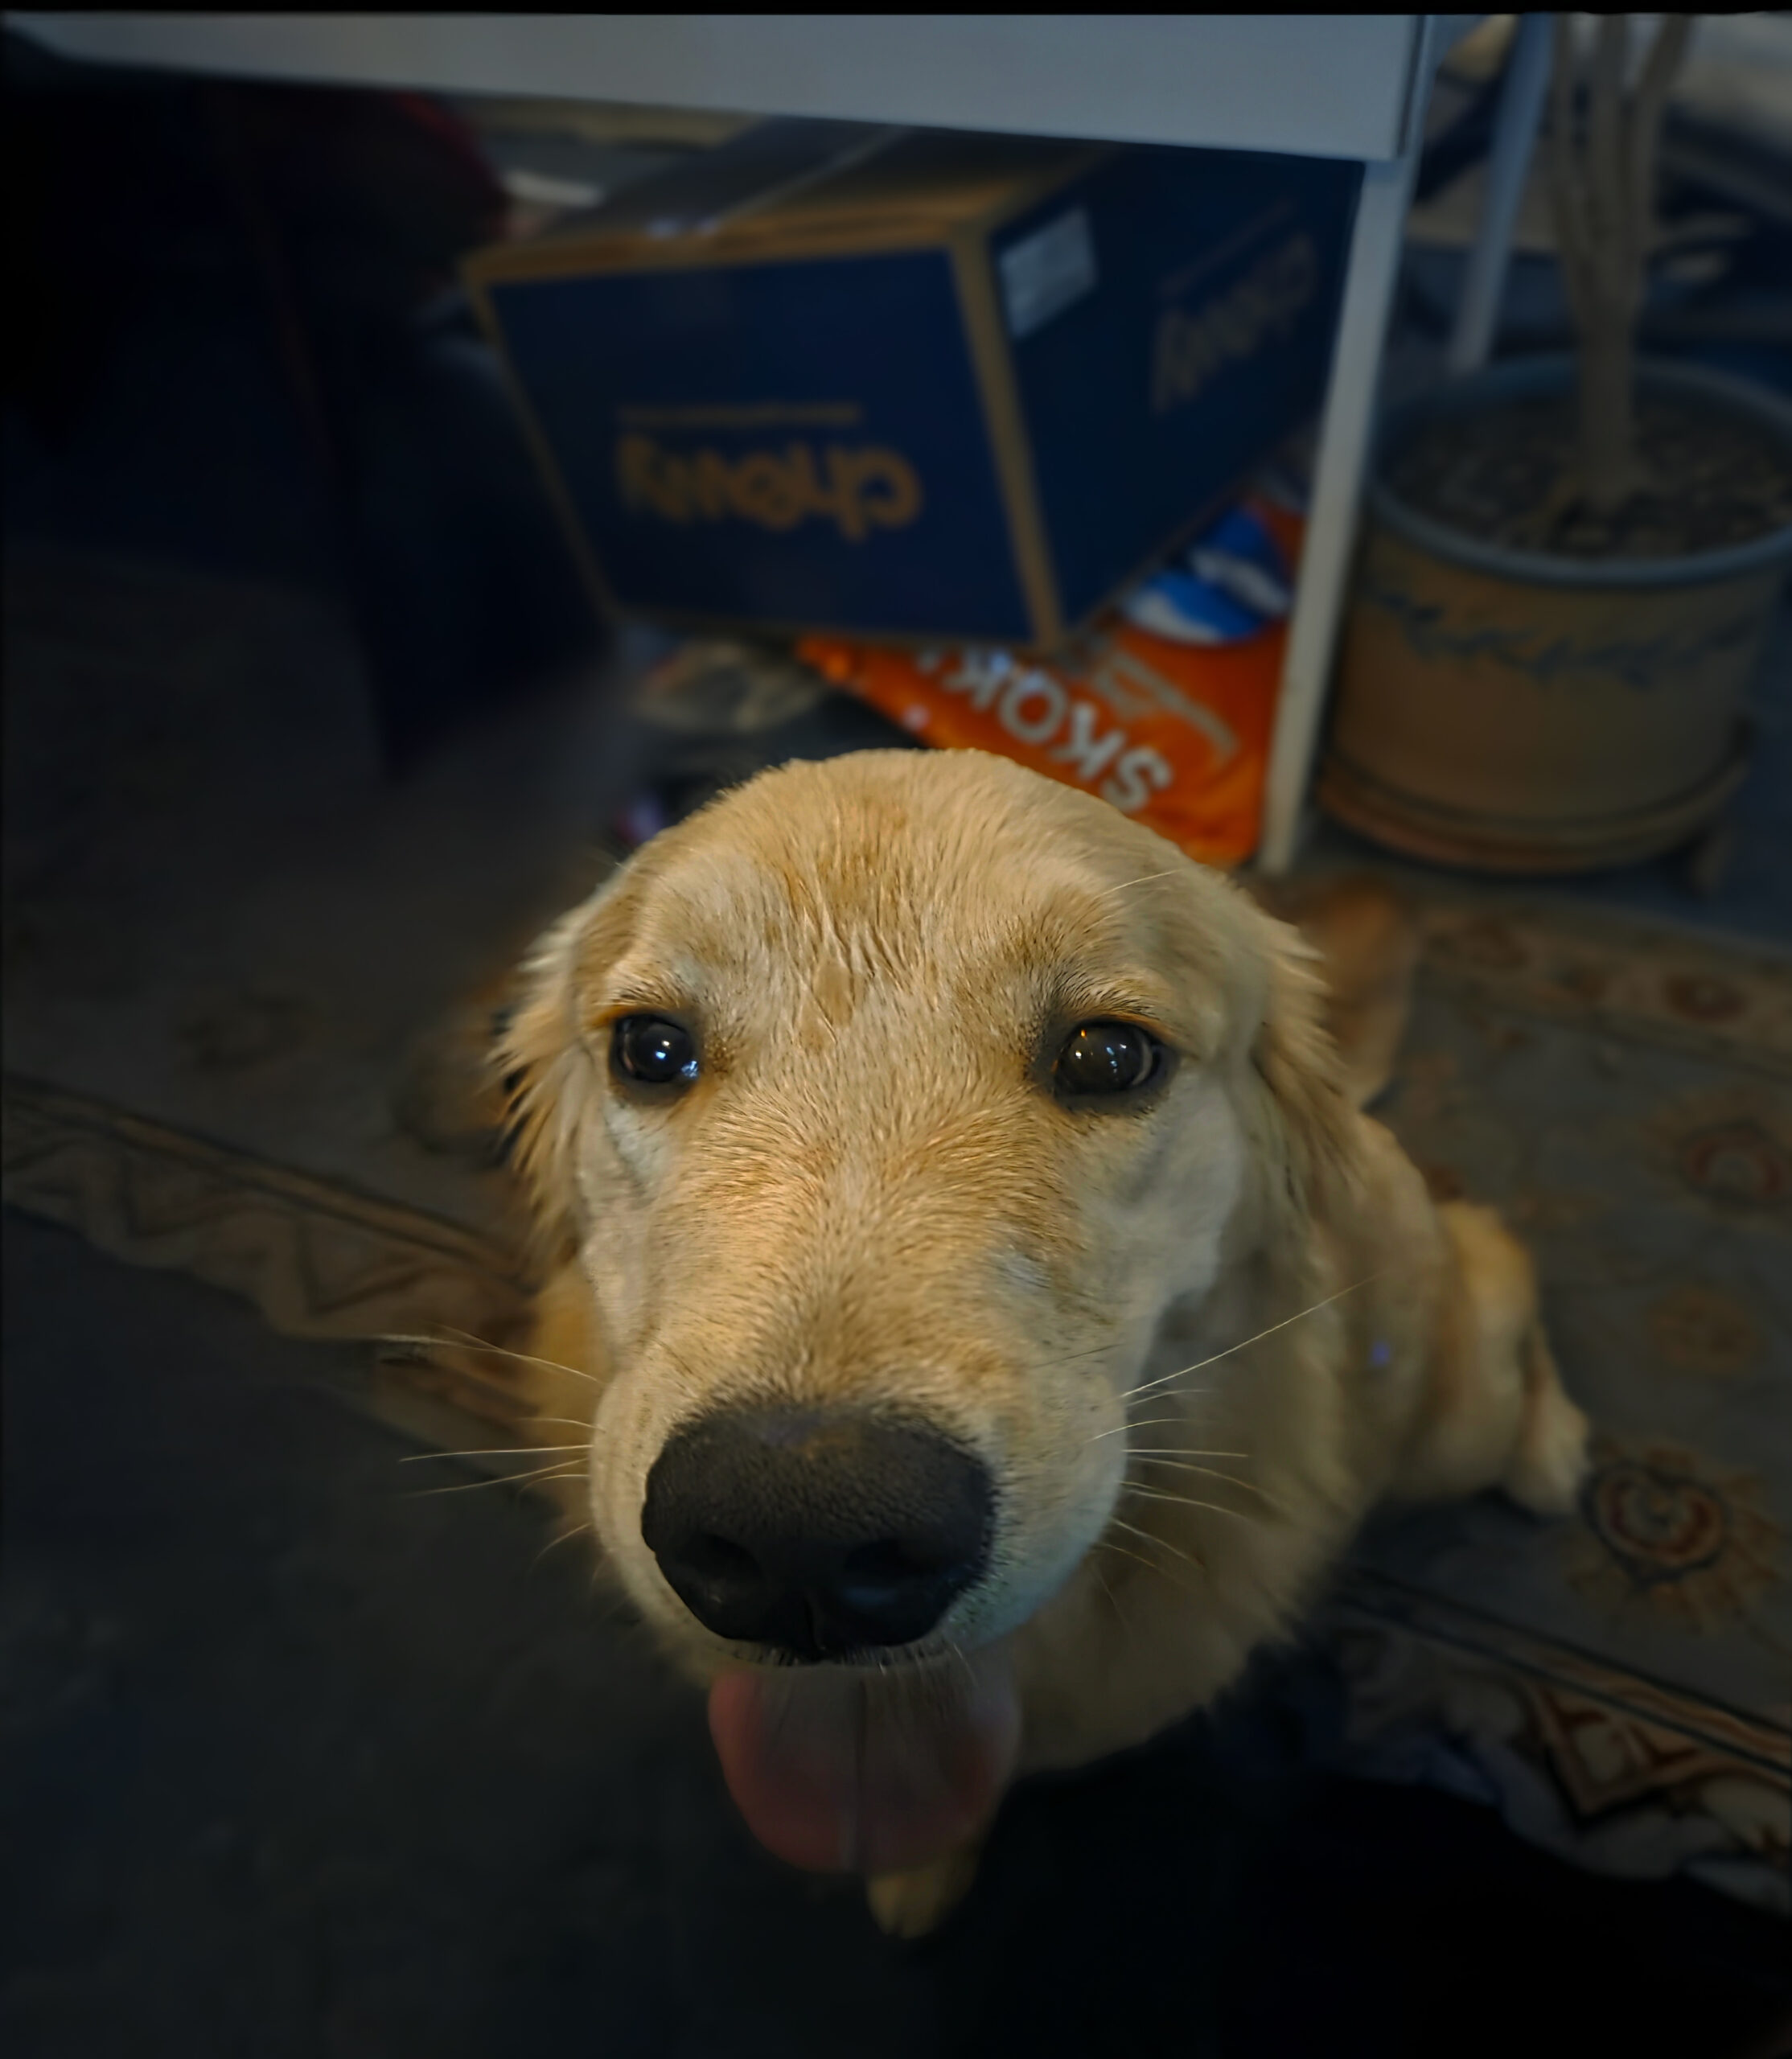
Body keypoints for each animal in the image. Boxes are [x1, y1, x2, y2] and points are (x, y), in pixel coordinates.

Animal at [494, 748, 1590, 1937]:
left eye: (1109, 1054)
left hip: (1451, 1416)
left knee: (1501, 1262)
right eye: (650, 1049)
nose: (801, 1534)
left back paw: (1553, 1449)